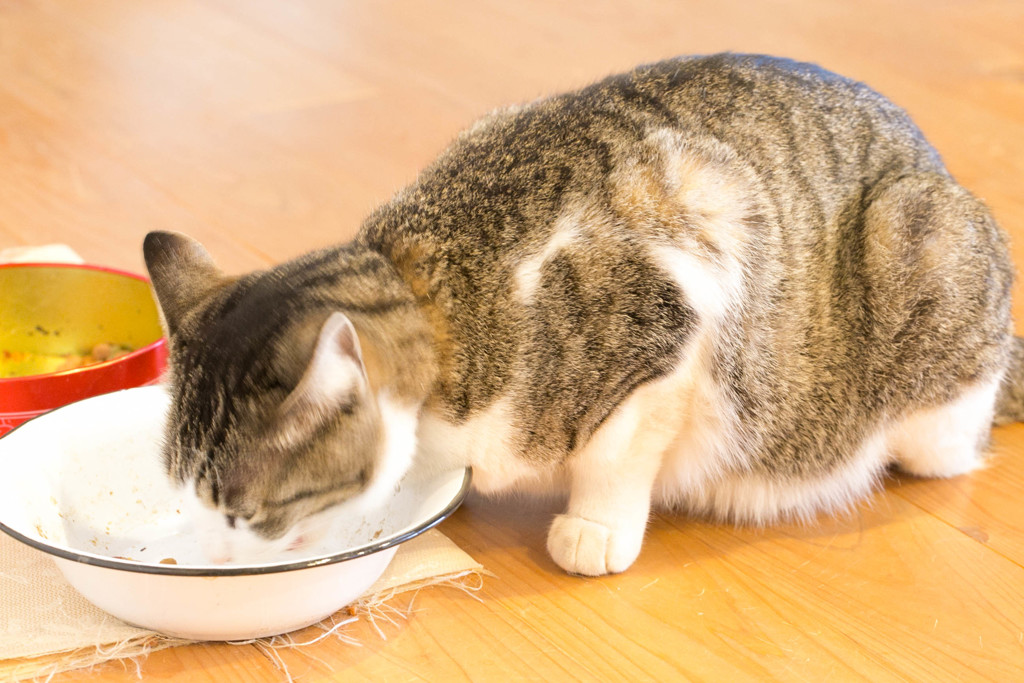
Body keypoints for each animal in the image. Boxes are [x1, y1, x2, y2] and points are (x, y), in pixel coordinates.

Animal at [144, 53, 1024, 577]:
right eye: (184, 499)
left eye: (241, 514)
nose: (209, 555)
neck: (437, 296)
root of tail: (937, 166)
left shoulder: (683, 299)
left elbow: (618, 451)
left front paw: (594, 527)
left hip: (921, 252)